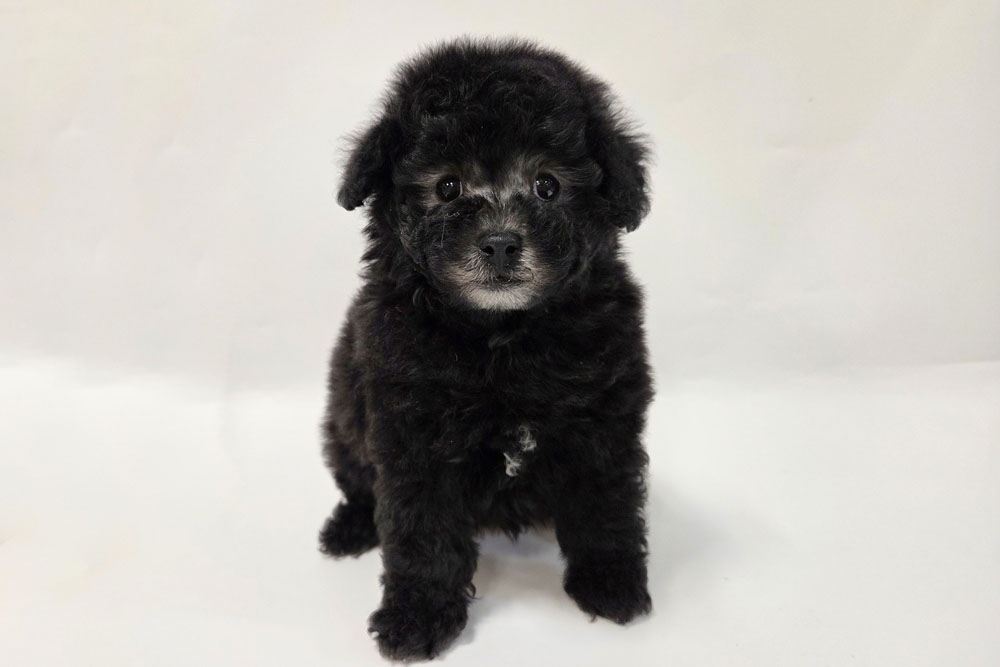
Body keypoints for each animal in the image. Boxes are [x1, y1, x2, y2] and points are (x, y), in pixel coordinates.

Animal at [319, 38, 653, 661]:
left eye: (548, 185)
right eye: (447, 187)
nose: (499, 243)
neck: (501, 336)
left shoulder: (606, 414)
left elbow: (607, 502)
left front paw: (611, 583)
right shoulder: (412, 432)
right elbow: (420, 529)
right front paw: (417, 616)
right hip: (345, 419)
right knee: (356, 479)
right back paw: (350, 529)